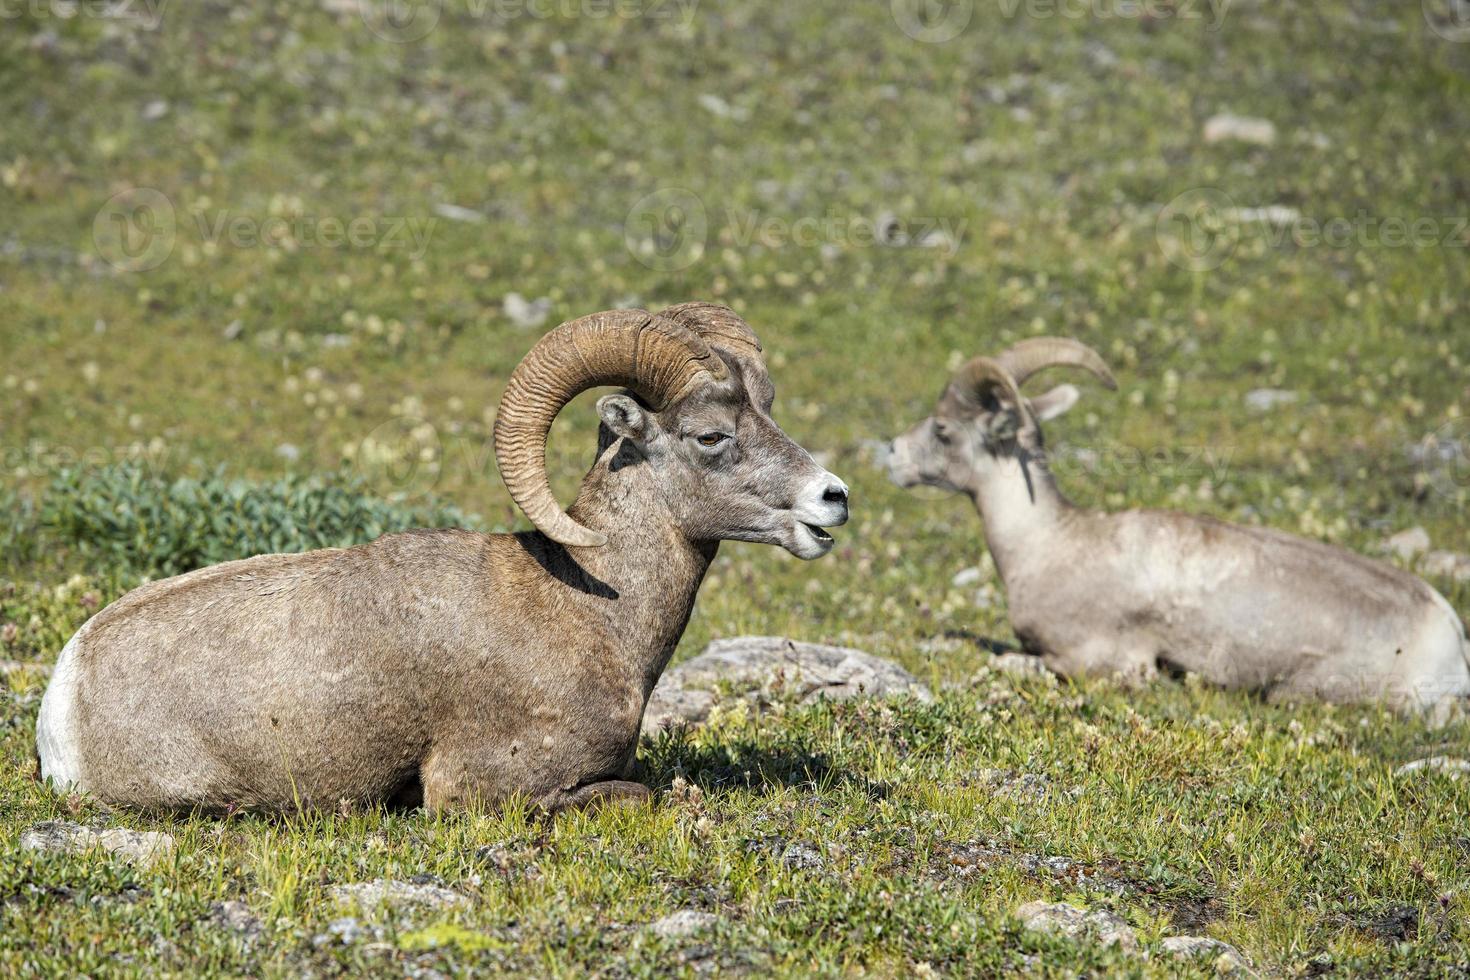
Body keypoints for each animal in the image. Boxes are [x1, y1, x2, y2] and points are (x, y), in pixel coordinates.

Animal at [37, 304, 852, 811]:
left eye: (768, 410)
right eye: (712, 436)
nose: (833, 498)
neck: (595, 615)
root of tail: (63, 699)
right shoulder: (483, 791)